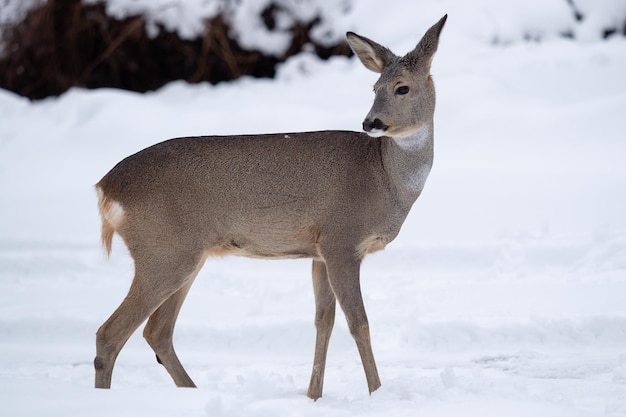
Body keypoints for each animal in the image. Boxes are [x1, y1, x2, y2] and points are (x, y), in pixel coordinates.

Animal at [92, 15, 446, 400]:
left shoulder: (319, 251)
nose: (371, 123)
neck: (384, 177)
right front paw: (377, 394)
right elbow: (359, 323)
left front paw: (313, 395)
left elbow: (324, 321)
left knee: (156, 331)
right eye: (375, 87)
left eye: (401, 88)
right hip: (163, 250)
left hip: (185, 255)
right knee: (110, 334)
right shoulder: (342, 239)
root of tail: (105, 186)